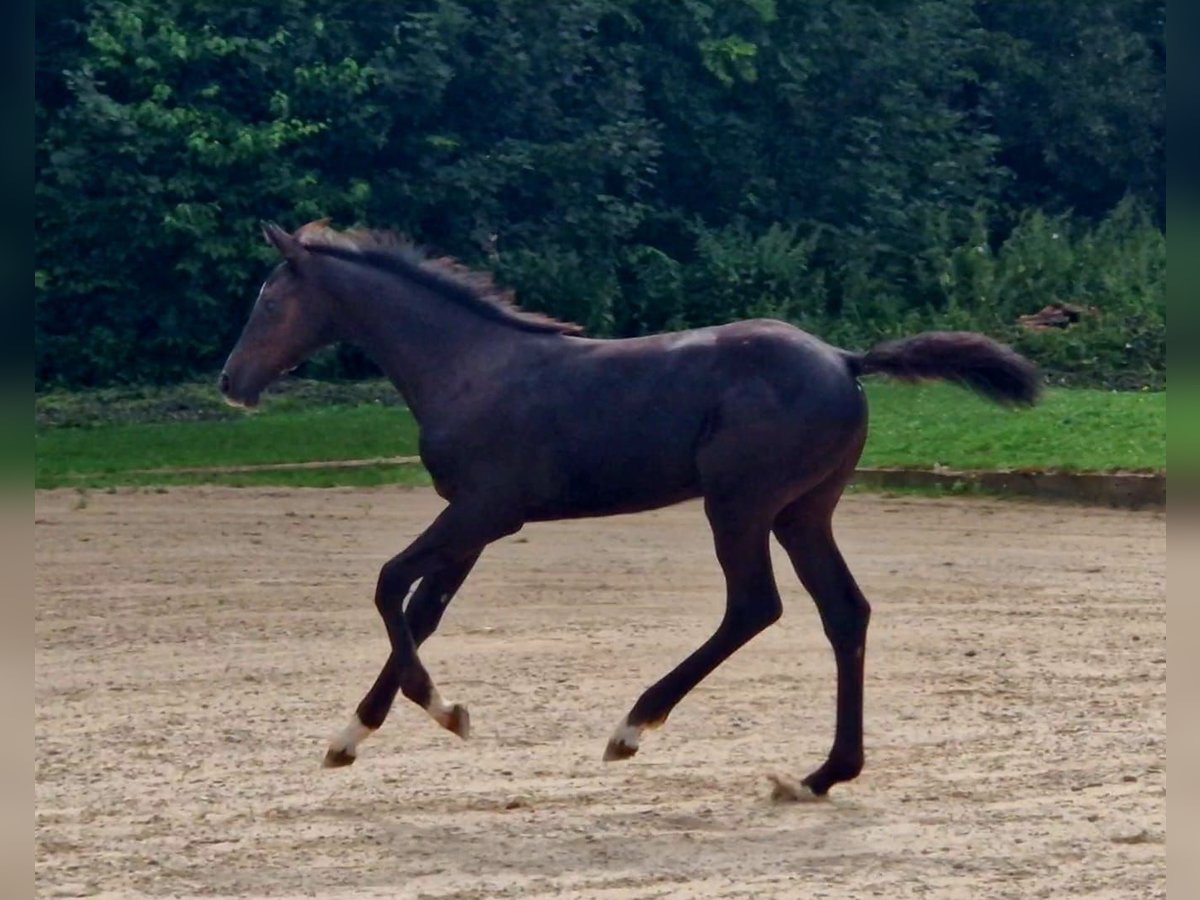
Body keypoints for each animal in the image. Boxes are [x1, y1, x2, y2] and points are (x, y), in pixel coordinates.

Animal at [218, 220, 1041, 801]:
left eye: (271, 300)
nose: (230, 381)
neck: (469, 366)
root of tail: (845, 359)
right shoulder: (476, 523)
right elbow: (422, 612)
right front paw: (351, 735)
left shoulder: (483, 511)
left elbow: (390, 585)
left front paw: (444, 711)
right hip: (803, 511)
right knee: (844, 612)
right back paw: (819, 775)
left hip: (740, 504)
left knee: (755, 605)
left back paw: (634, 726)